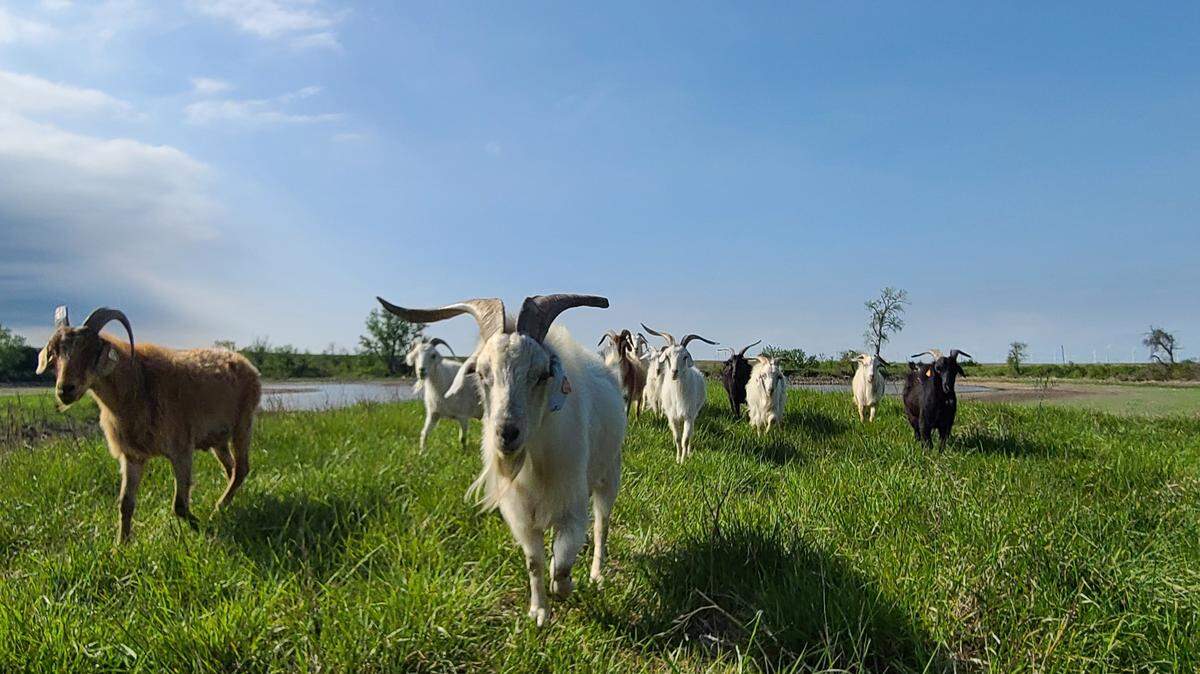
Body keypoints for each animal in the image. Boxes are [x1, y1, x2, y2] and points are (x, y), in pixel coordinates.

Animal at [35, 306, 260, 544]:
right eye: (54, 352)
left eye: (92, 349)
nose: (65, 389)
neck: (138, 385)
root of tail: (247, 364)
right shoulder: (132, 456)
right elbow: (126, 504)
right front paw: (121, 545)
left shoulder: (181, 449)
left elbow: (179, 505)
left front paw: (203, 526)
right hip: (218, 440)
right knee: (231, 469)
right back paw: (228, 503)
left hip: (243, 424)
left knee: (242, 468)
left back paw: (217, 509)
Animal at [377, 294, 624, 626]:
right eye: (481, 374)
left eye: (543, 374)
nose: (507, 433)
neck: (533, 462)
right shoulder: (522, 516)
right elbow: (534, 563)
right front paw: (539, 611)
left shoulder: (570, 508)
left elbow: (562, 567)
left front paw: (565, 587)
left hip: (609, 475)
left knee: (601, 525)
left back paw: (597, 574)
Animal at [642, 324, 717, 463]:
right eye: (667, 356)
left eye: (685, 356)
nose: (674, 372)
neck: (678, 394)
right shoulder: (672, 417)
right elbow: (677, 439)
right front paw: (677, 459)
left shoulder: (689, 416)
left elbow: (685, 439)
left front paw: (683, 460)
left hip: (694, 413)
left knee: (690, 434)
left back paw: (688, 453)